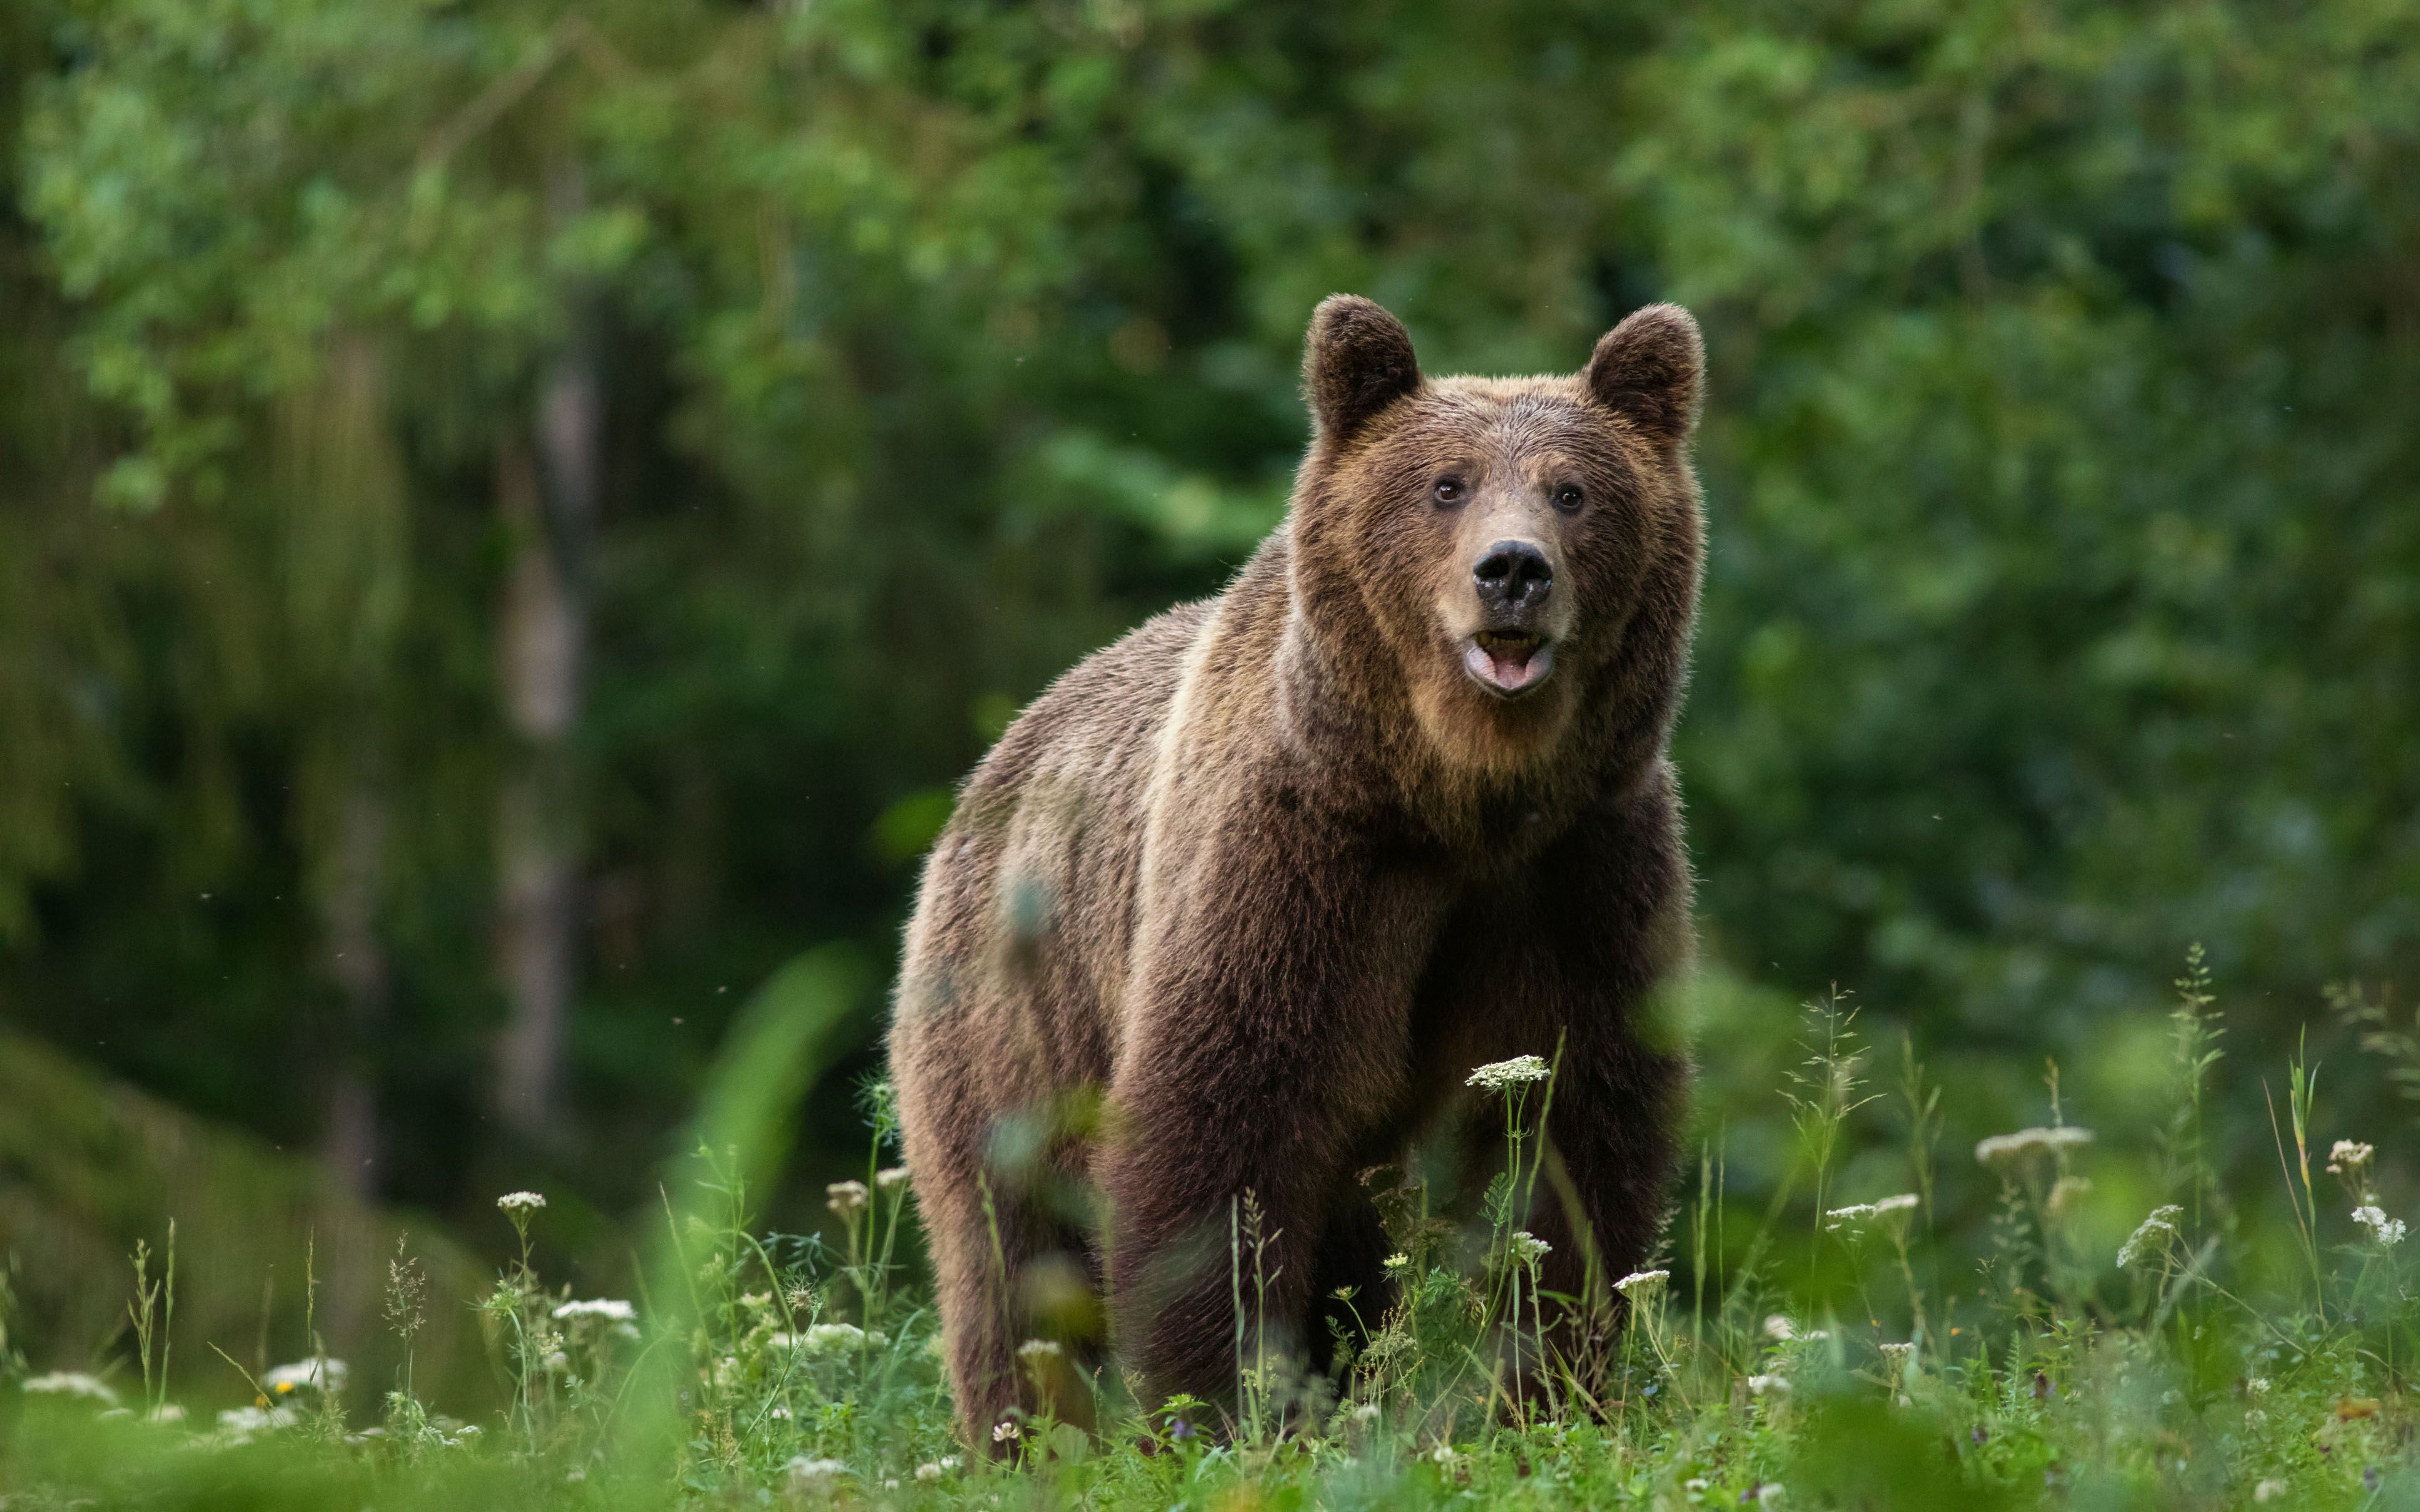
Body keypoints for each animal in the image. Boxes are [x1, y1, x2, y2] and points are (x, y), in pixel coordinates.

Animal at [890, 291, 1704, 1441]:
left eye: (1573, 491)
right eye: (1445, 484)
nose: (1513, 570)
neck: (1456, 800)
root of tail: (991, 767)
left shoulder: (1577, 870)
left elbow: (1573, 1133)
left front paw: (1546, 1391)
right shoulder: (1299, 860)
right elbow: (1224, 1126)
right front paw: (1222, 1406)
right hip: (1011, 1022)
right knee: (1013, 1260)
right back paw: (1028, 1436)